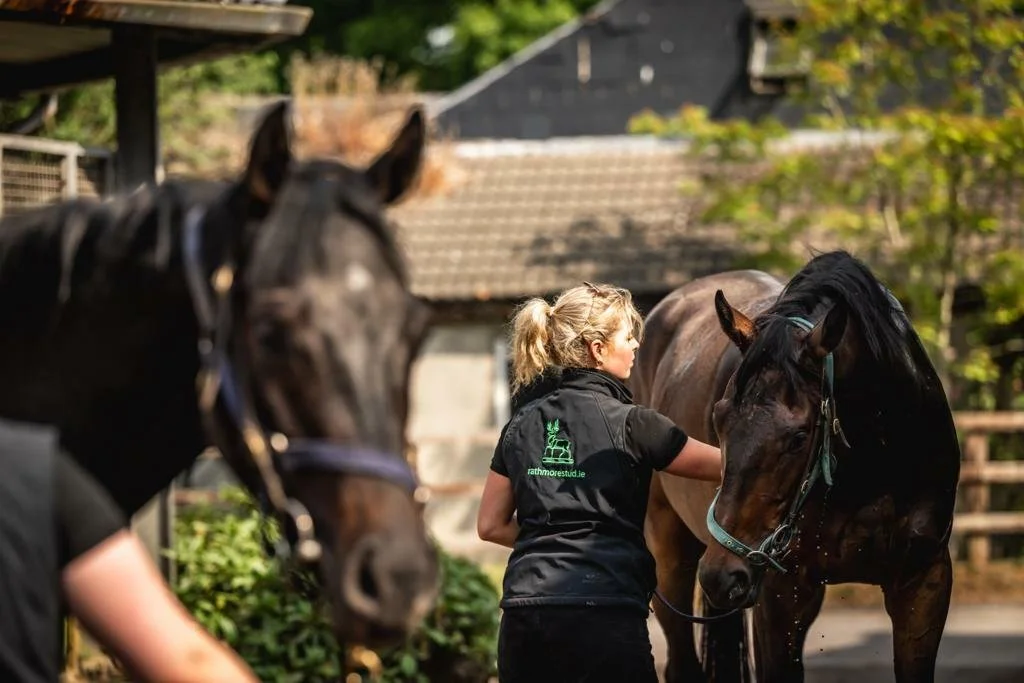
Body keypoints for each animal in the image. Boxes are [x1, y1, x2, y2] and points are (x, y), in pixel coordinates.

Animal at [631, 251, 960, 682]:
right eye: (719, 419)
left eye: (800, 437)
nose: (722, 574)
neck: (871, 471)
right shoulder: (781, 595)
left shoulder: (924, 581)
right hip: (670, 550)